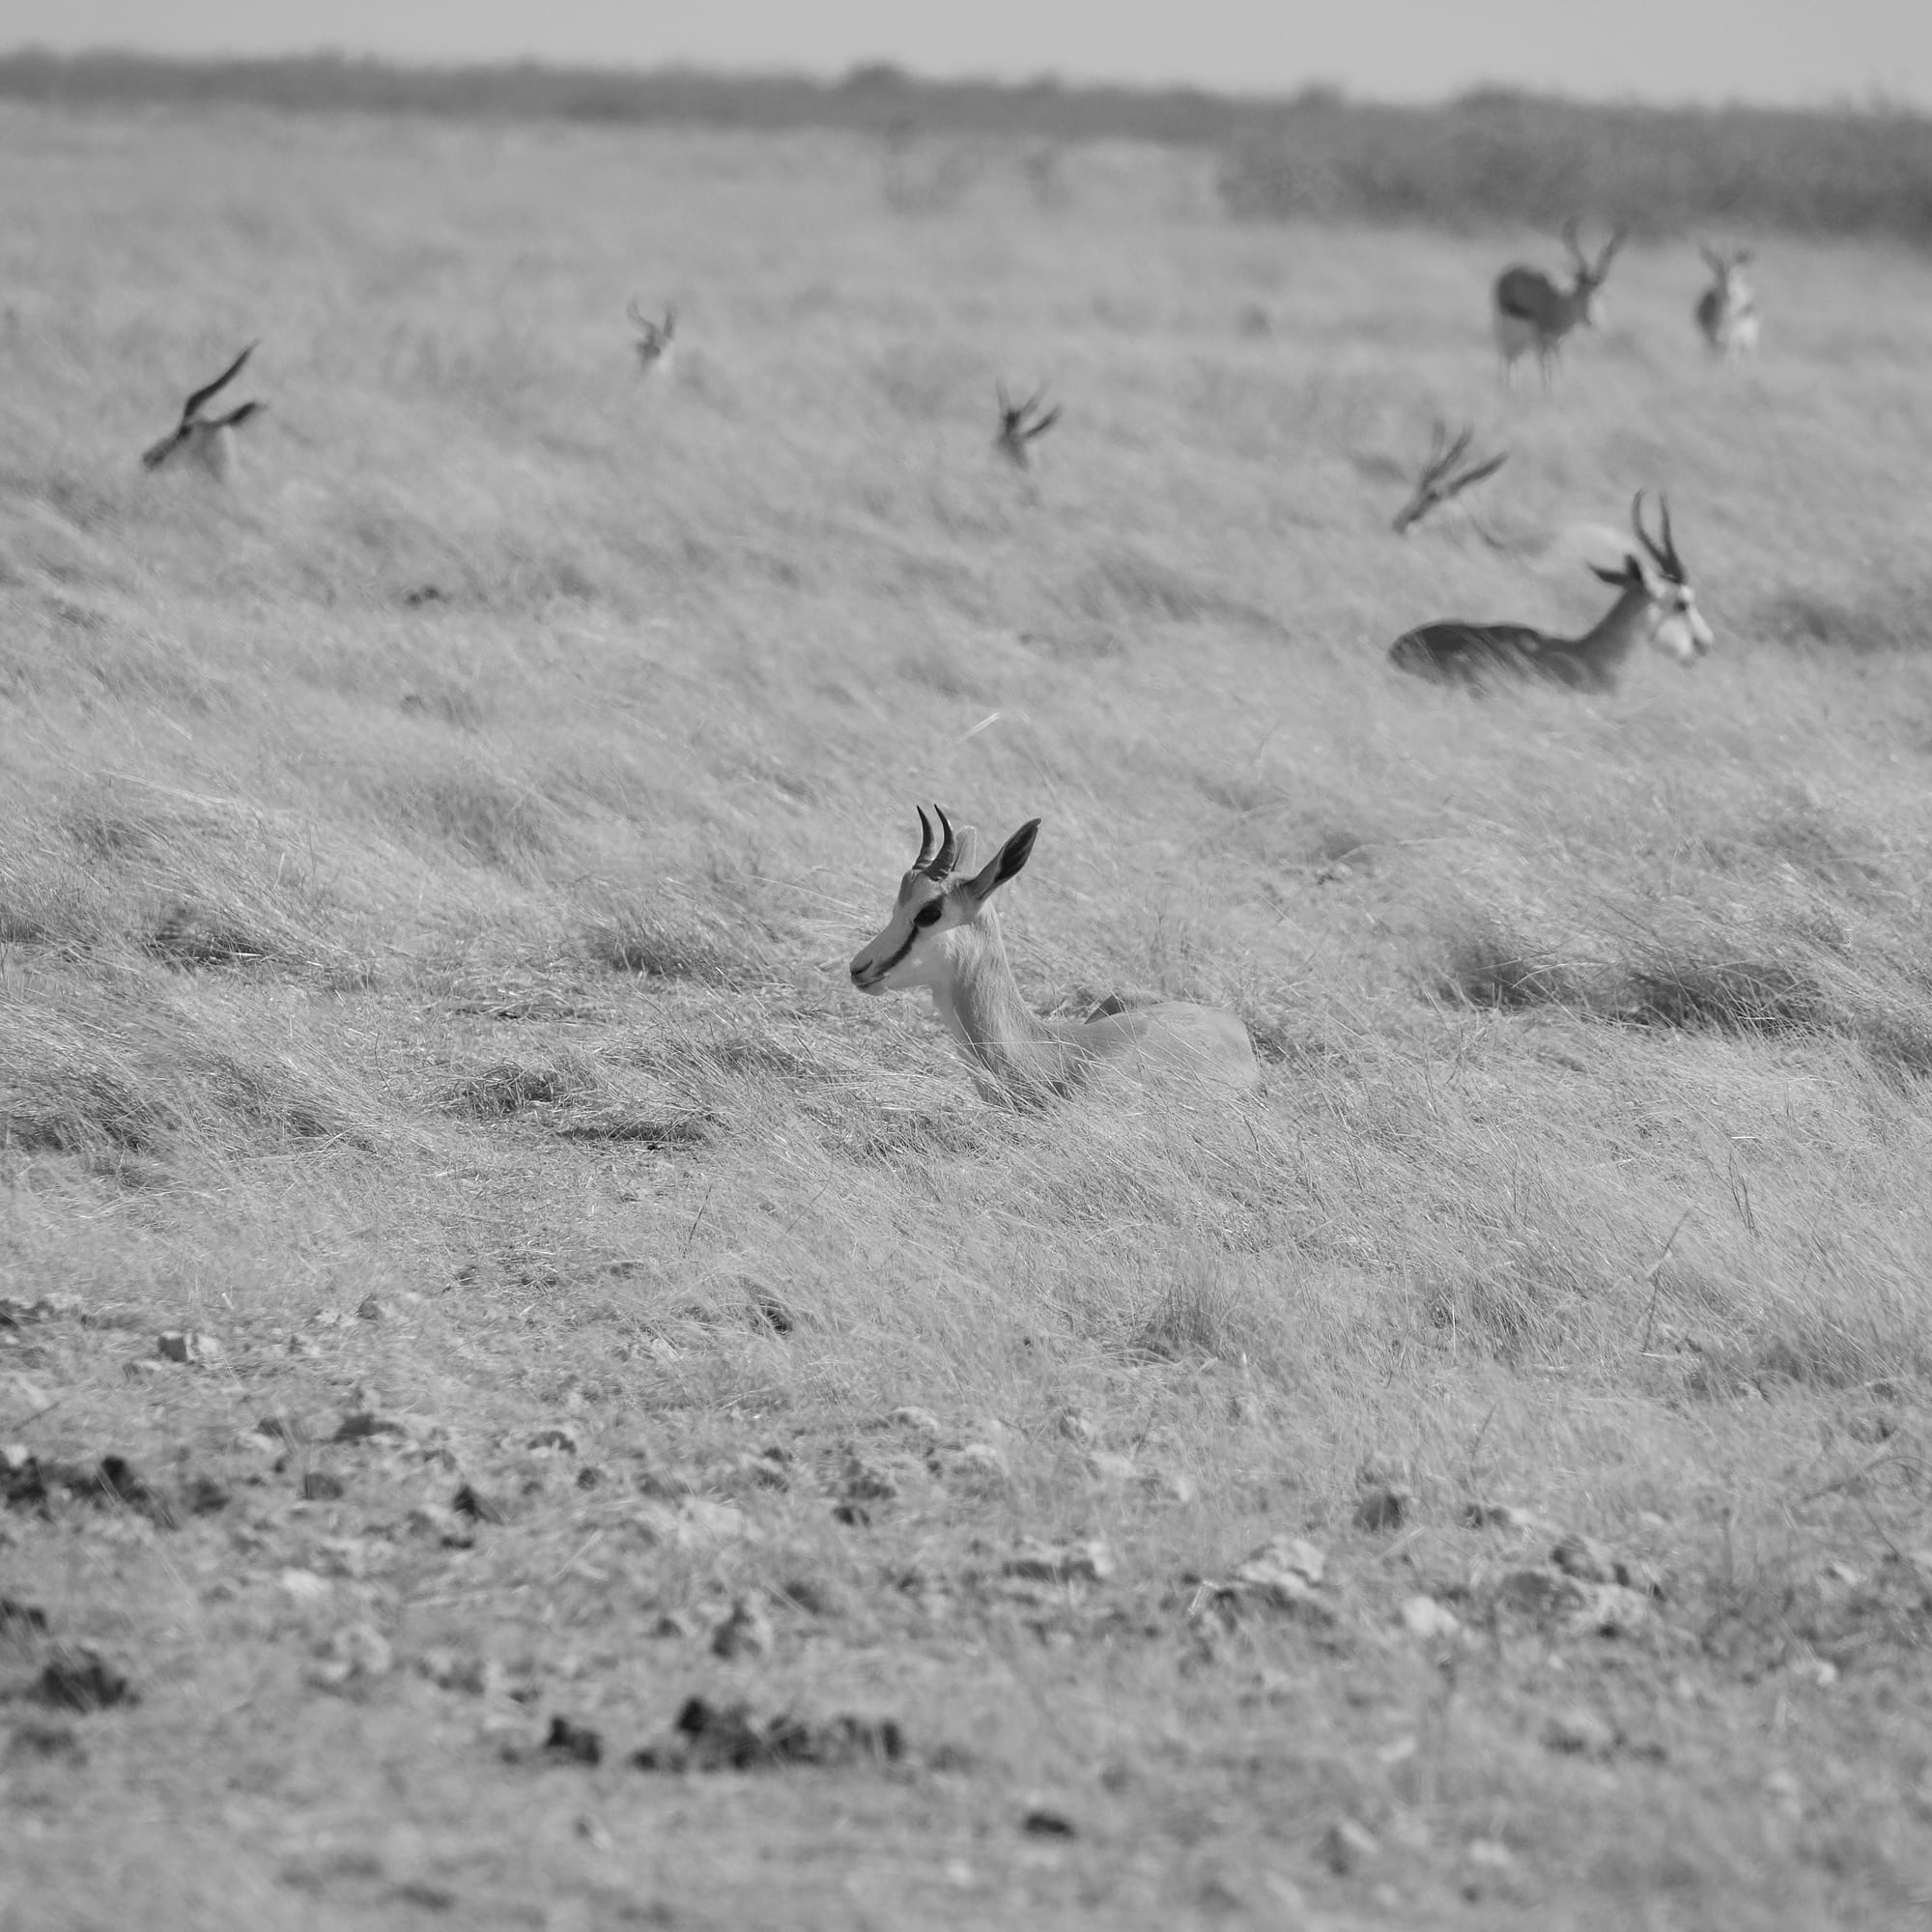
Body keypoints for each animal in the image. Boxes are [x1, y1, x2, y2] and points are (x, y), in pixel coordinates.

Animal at [1493, 220, 1625, 388]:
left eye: (1599, 293)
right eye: (1579, 292)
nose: (1592, 322)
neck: (1557, 304)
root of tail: (1508, 273)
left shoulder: (1558, 342)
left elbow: (1558, 366)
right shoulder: (1542, 340)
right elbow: (1546, 369)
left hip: (1521, 339)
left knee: (1512, 356)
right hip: (1505, 330)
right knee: (1505, 353)